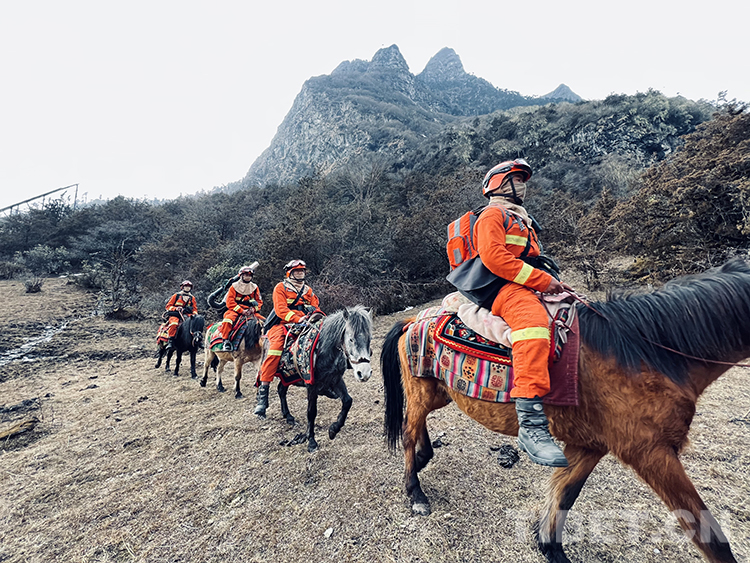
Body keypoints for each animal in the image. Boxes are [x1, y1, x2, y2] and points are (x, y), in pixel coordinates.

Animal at [267, 305, 373, 453]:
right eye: (351, 339)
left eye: (370, 339)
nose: (364, 373)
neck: (324, 351)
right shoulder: (311, 385)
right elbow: (311, 412)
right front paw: (311, 441)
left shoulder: (335, 380)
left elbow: (347, 401)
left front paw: (334, 429)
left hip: (288, 377)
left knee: (281, 390)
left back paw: (288, 416)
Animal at [381, 259, 750, 563]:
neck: (645, 352)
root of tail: (414, 318)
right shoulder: (651, 452)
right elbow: (710, 537)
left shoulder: (589, 446)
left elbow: (563, 496)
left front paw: (550, 547)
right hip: (422, 390)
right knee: (408, 432)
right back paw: (415, 491)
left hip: (440, 393)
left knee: (416, 425)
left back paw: (423, 458)